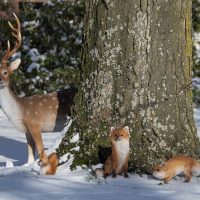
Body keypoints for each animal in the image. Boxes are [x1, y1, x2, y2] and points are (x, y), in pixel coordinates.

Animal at [0, 13, 76, 166]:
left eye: (5, 72)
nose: (0, 81)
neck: (20, 110)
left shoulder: (34, 124)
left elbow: (41, 149)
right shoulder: (27, 131)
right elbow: (29, 155)